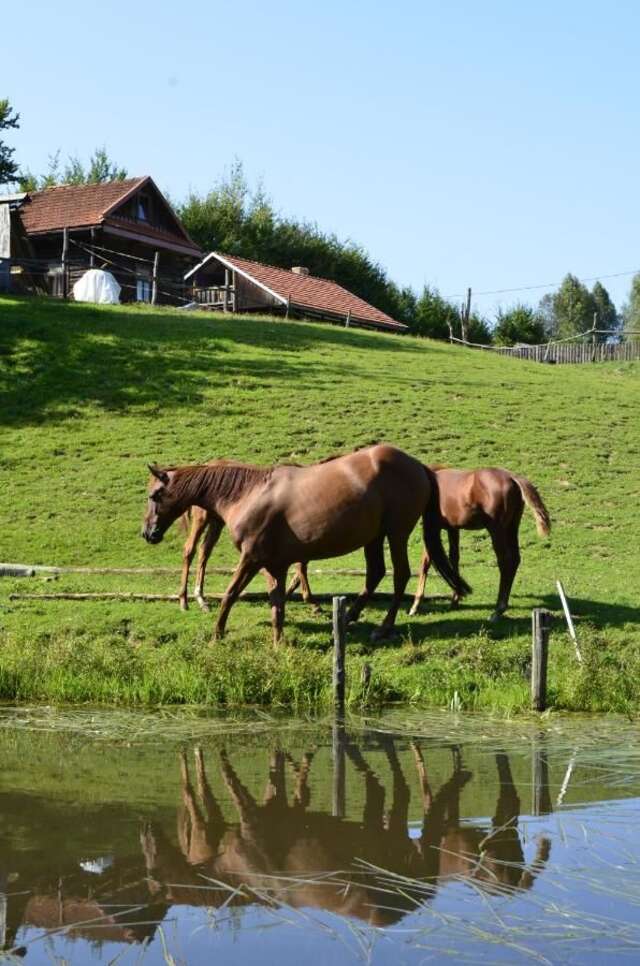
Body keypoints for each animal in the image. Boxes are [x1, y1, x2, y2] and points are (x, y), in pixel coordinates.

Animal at [140, 444, 470, 644]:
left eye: (155, 495)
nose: (148, 533)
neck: (248, 494)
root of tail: (419, 466)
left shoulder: (251, 559)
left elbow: (230, 594)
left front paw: (217, 634)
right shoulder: (274, 564)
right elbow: (276, 604)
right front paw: (278, 641)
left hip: (396, 533)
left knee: (399, 575)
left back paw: (383, 627)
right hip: (374, 538)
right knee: (375, 573)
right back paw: (348, 617)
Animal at [410, 466, 552, 620]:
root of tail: (511, 477)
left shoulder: (432, 529)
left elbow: (425, 563)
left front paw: (415, 605)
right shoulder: (453, 529)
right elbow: (454, 559)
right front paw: (455, 599)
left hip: (496, 530)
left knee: (505, 562)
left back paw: (498, 610)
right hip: (512, 528)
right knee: (515, 559)